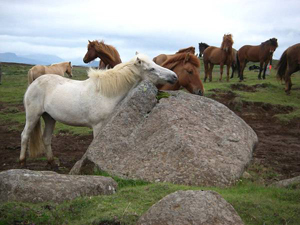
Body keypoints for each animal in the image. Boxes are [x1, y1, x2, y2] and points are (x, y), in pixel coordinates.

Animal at [19, 53, 177, 166]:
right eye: (152, 68)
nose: (174, 76)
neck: (105, 93)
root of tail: (34, 83)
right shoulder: (97, 126)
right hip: (33, 116)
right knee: (25, 135)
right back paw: (22, 162)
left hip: (50, 117)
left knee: (46, 138)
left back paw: (52, 162)